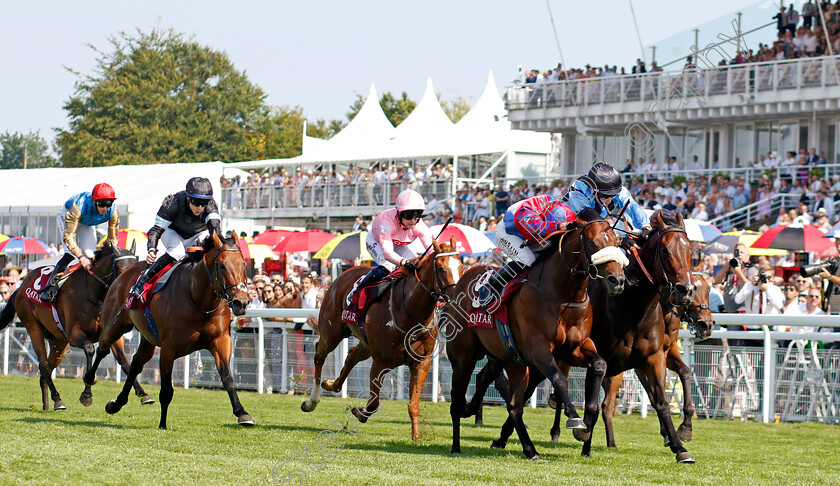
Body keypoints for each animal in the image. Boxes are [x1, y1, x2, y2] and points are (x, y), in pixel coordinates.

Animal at [0, 243, 153, 410]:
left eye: (135, 267)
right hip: (33, 328)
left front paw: (143, 394)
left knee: (45, 370)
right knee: (44, 365)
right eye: (120, 267)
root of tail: (20, 287)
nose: (131, 290)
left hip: (58, 341)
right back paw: (58, 399)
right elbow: (90, 349)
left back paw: (47, 404)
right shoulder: (74, 335)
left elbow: (124, 361)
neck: (94, 294)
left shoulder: (111, 333)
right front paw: (87, 393)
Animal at [84, 234, 253, 428]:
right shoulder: (168, 348)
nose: (241, 302)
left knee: (135, 364)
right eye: (223, 266)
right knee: (103, 348)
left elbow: (227, 377)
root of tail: (123, 273)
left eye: (244, 265)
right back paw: (88, 387)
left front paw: (242, 413)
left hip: (148, 338)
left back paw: (118, 403)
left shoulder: (221, 340)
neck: (198, 300)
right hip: (114, 326)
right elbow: (166, 389)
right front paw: (162, 424)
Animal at [300, 235, 462, 440]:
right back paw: (312, 401)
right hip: (332, 332)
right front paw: (359, 412)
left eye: (461, 266)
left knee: (351, 354)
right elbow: (374, 403)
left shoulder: (421, 363)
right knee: (319, 356)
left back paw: (331, 384)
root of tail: (344, 274)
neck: (409, 311)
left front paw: (416, 436)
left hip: (366, 343)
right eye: (440, 268)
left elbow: (413, 405)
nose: (455, 296)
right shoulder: (381, 361)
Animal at [446, 209, 624, 460]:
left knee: (509, 402)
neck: (563, 296)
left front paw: (587, 423)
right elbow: (559, 379)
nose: (617, 280)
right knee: (457, 400)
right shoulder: (539, 349)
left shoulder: (575, 347)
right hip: (463, 357)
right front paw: (575, 419)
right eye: (591, 243)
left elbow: (599, 365)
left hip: (508, 359)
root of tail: (463, 277)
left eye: (617, 243)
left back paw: (529, 449)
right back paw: (456, 445)